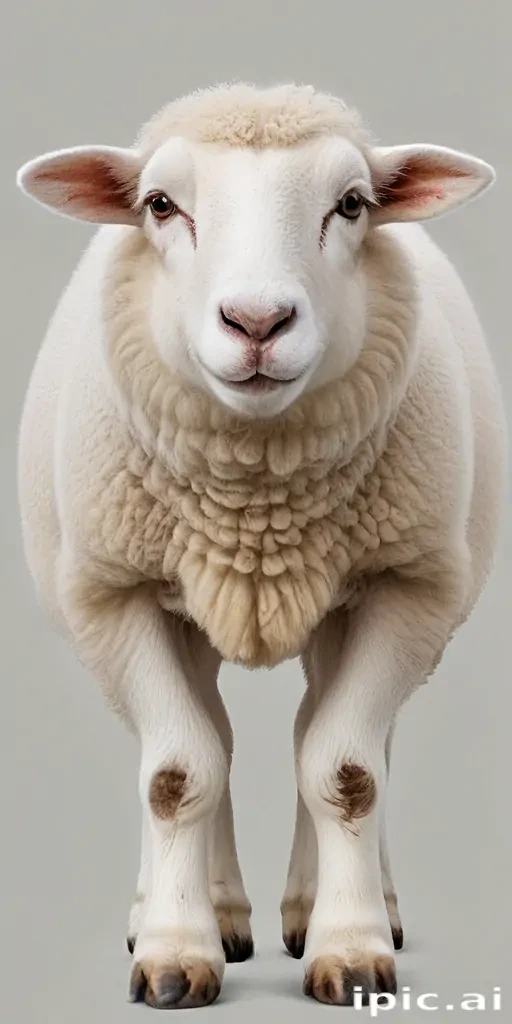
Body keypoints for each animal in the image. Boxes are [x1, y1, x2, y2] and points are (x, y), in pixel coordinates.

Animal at [16, 82, 506, 1009]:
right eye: (159, 205)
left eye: (351, 204)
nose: (257, 321)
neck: (257, 500)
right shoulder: (113, 596)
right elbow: (177, 774)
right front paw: (175, 954)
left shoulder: (408, 589)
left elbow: (346, 769)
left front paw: (350, 950)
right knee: (207, 734)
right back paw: (210, 911)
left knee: (327, 728)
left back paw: (331, 906)